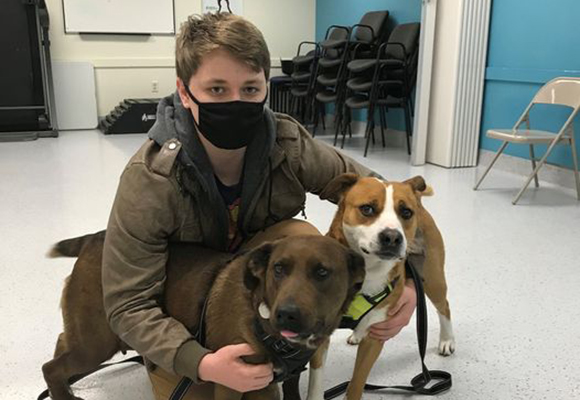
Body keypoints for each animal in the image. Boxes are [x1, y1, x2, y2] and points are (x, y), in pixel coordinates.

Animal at [43, 231, 364, 400]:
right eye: (278, 268)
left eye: (322, 272)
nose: (286, 315)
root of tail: (95, 238)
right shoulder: (231, 383)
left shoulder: (282, 380)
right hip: (97, 342)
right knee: (51, 367)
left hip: (86, 335)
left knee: (61, 342)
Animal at [306, 173, 456, 400]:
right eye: (367, 208)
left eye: (406, 212)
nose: (392, 237)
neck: (367, 273)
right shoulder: (320, 335)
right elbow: (315, 383)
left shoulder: (375, 338)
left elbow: (357, 383)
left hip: (433, 278)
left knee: (444, 306)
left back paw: (447, 340)